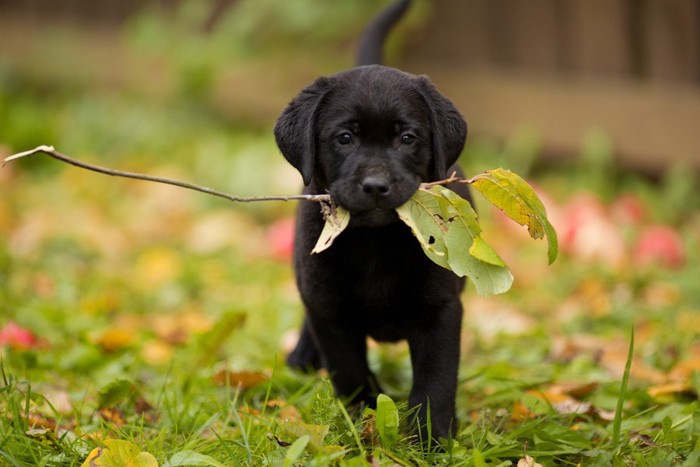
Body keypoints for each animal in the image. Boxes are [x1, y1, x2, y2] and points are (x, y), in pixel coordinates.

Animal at [276, 0, 468, 442]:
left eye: (407, 138)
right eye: (345, 138)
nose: (377, 185)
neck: (375, 242)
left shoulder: (442, 310)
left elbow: (436, 379)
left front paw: (430, 439)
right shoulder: (330, 311)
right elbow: (348, 370)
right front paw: (361, 420)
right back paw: (303, 354)